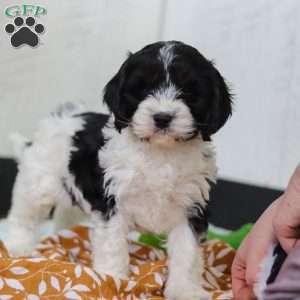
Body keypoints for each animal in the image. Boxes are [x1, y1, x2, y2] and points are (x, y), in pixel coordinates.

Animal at [5, 41, 233, 298]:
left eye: (189, 91)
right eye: (142, 90)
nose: (162, 117)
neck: (160, 152)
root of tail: (62, 116)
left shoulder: (191, 207)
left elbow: (187, 253)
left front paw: (185, 291)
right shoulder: (112, 202)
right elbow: (113, 246)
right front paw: (112, 280)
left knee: (65, 212)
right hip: (39, 180)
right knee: (24, 214)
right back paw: (18, 245)